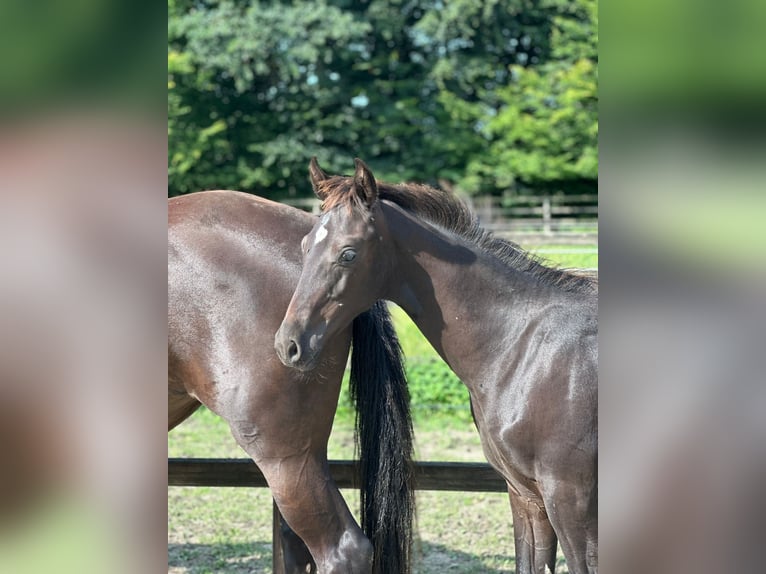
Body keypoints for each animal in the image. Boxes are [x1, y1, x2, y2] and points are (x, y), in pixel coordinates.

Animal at [276, 160, 600, 574]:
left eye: (348, 253)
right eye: (305, 246)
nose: (289, 344)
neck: (524, 346)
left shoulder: (572, 499)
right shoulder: (526, 495)